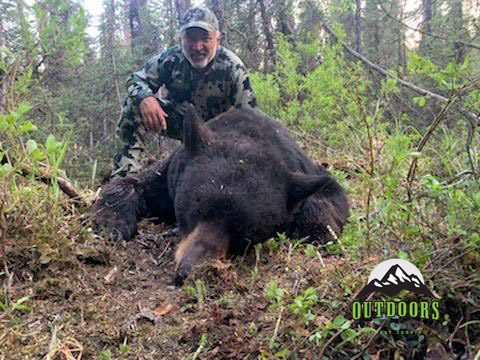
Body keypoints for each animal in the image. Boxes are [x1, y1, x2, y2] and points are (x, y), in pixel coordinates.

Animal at [92, 105, 348, 282]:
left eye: (247, 232)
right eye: (195, 207)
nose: (190, 270)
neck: (248, 136)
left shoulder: (304, 170)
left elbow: (329, 193)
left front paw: (316, 231)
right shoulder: (171, 174)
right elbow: (129, 183)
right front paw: (111, 224)